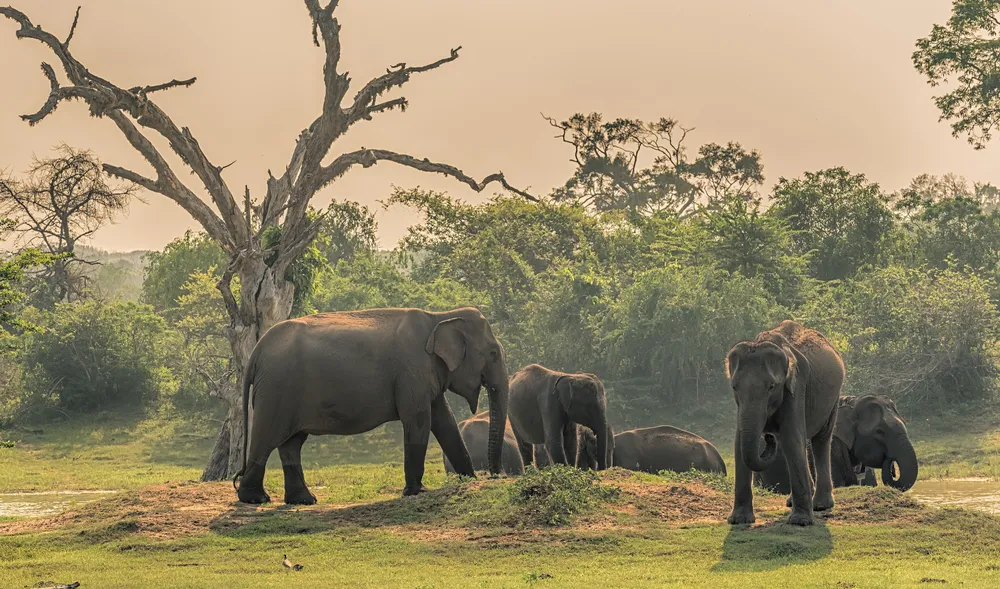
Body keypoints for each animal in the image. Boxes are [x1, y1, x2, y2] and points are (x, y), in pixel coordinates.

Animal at [233, 306, 508, 504]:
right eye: (494, 353)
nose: (496, 475)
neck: (440, 316)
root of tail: (256, 351)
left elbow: (444, 420)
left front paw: (469, 480)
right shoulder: (412, 371)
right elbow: (419, 419)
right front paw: (417, 491)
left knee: (292, 443)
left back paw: (304, 500)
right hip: (277, 389)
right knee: (268, 437)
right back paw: (255, 499)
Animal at [728, 320, 844, 524]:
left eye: (771, 387)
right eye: (734, 387)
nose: (768, 437)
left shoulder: (797, 386)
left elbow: (792, 438)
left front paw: (800, 522)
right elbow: (739, 441)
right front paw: (739, 520)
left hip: (833, 399)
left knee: (821, 440)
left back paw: (821, 505)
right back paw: (794, 501)